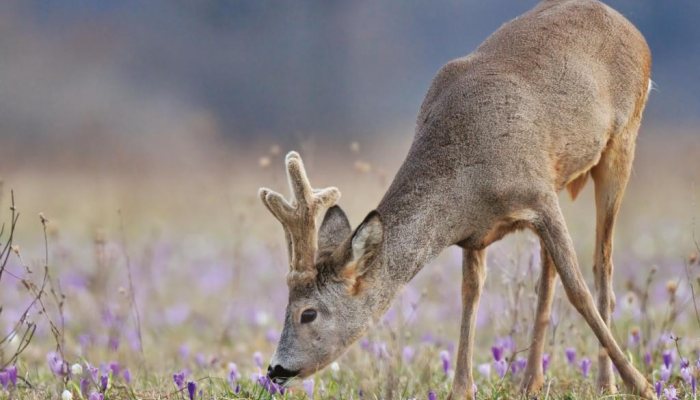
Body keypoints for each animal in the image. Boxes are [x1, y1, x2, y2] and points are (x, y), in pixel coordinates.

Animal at [258, 0, 654, 399]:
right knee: (549, 272)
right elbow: (470, 294)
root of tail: (630, 27)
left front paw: (640, 384)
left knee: (602, 265)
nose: (275, 369)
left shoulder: (538, 194)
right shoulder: (477, 231)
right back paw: (531, 380)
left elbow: (578, 291)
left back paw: (606, 381)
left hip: (623, 142)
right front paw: (461, 388)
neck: (467, 175)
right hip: (562, 175)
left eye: (308, 313)